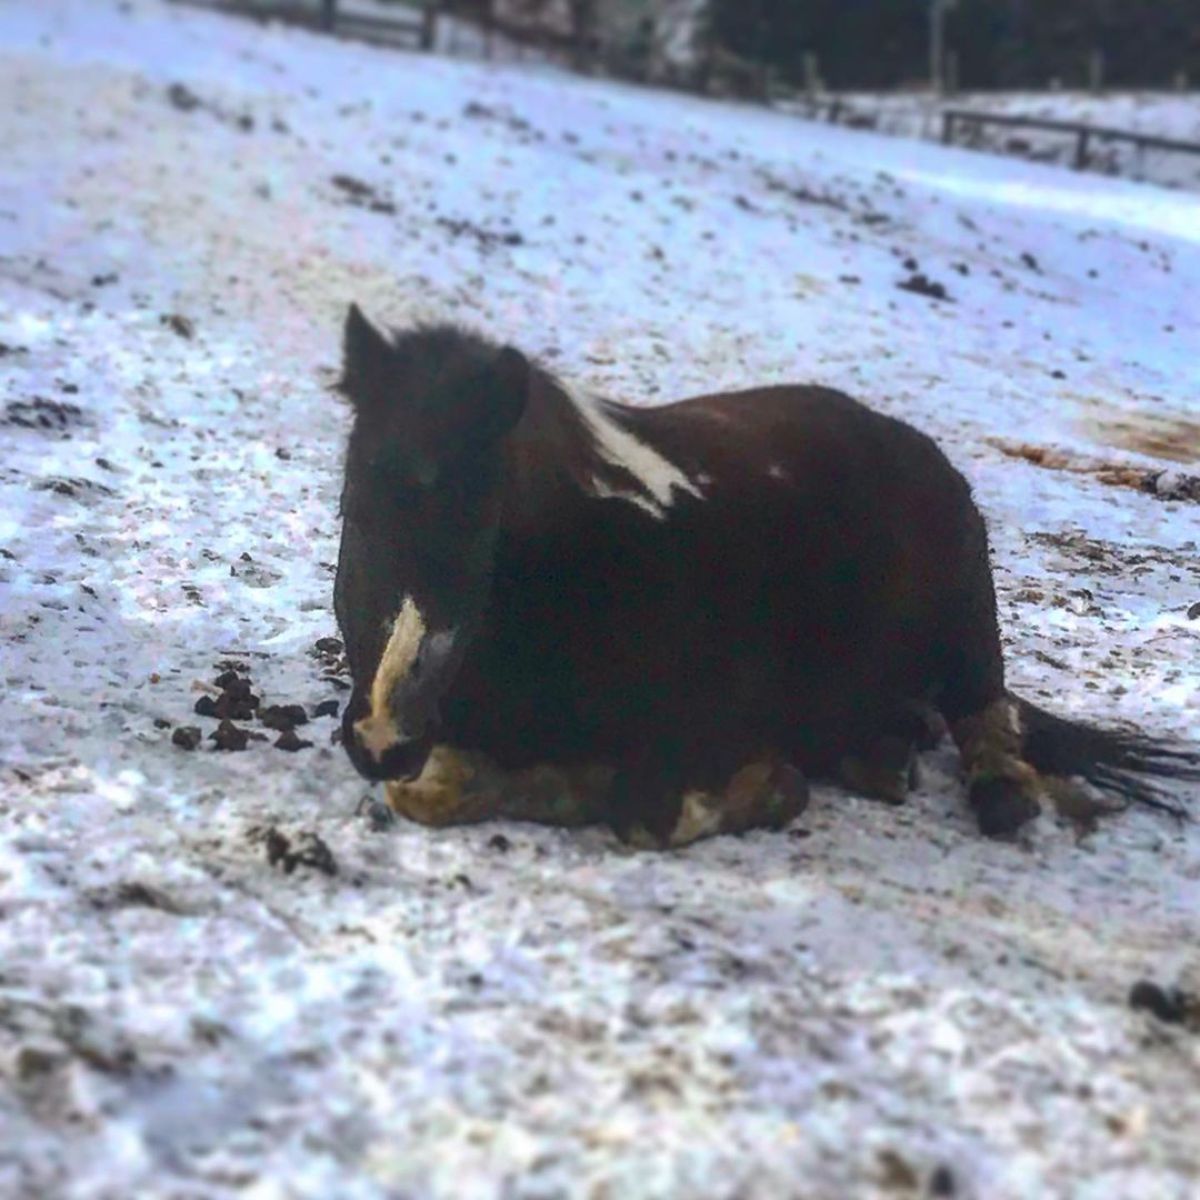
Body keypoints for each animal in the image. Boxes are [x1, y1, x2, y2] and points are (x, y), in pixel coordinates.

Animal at [328, 309, 1190, 849]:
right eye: (353, 508)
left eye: (482, 527)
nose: (385, 733)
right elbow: (435, 788)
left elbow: (645, 810)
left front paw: (769, 787)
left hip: (971, 628)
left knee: (988, 719)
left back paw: (991, 791)